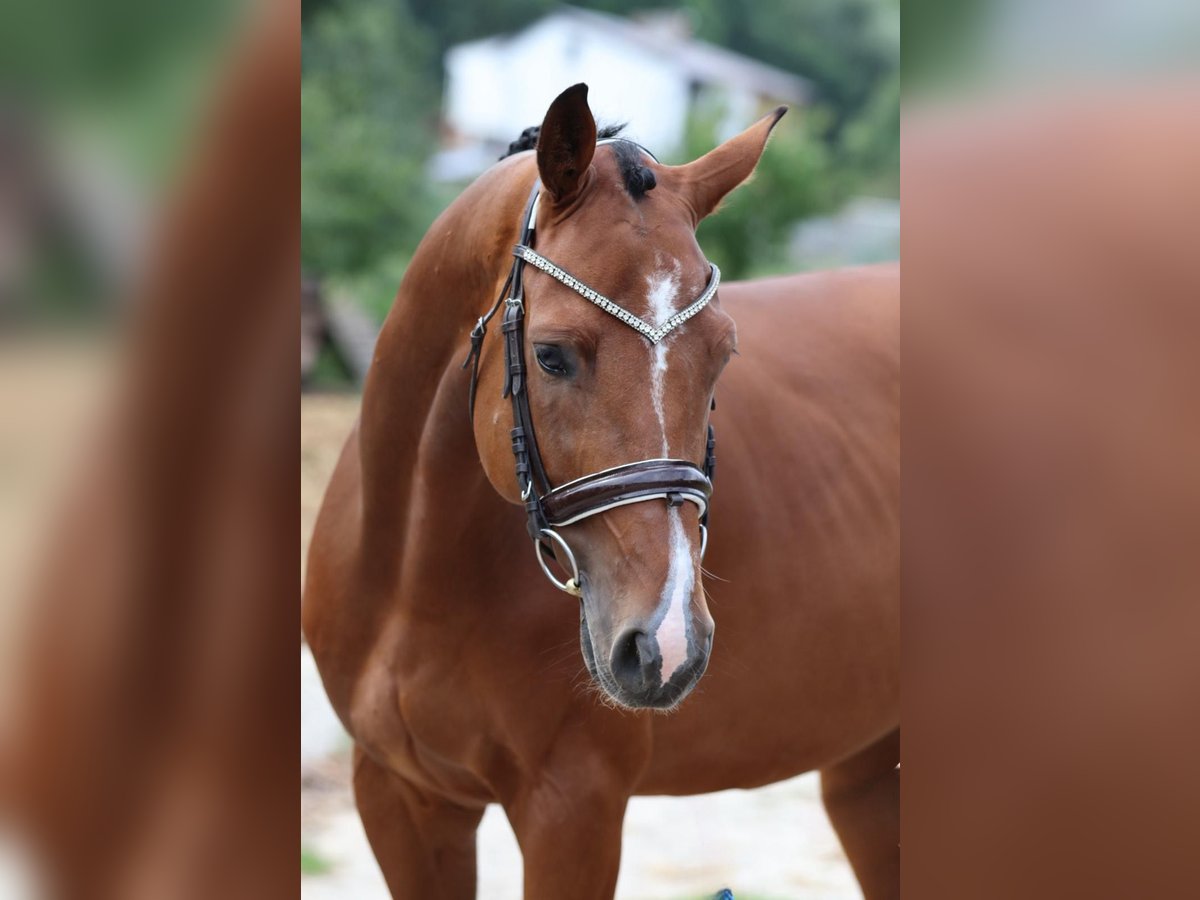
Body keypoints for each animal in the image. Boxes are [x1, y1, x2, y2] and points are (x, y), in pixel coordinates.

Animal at [302, 82, 902, 897]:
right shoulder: (399, 796)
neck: (414, 579)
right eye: (551, 355)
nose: (666, 643)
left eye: (723, 355)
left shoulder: (573, 806)